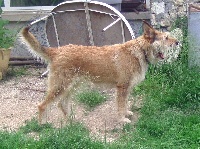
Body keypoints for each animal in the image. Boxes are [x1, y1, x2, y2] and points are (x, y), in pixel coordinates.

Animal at [20, 21, 178, 123]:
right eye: (166, 38)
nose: (178, 42)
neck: (139, 51)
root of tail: (57, 51)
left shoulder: (126, 89)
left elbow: (125, 104)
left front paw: (126, 113)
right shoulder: (122, 88)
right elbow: (120, 106)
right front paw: (122, 120)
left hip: (71, 86)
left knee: (61, 104)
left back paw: (70, 119)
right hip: (60, 87)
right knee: (42, 105)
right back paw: (43, 125)